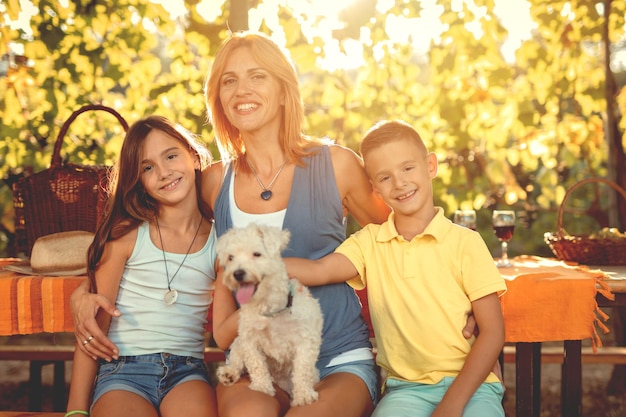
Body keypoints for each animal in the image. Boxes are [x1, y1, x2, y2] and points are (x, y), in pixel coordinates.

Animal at [214, 223, 322, 404]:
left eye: (257, 254)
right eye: (231, 258)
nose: (237, 273)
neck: (269, 309)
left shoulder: (305, 341)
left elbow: (302, 369)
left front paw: (303, 395)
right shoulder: (249, 340)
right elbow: (256, 365)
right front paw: (261, 387)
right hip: (238, 342)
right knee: (237, 360)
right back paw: (229, 373)